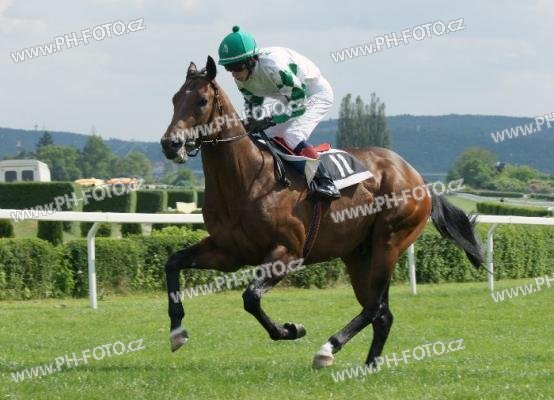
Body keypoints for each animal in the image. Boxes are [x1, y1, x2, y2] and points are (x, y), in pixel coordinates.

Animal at [159, 56, 483, 368]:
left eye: (202, 100)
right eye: (174, 99)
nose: (170, 144)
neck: (247, 178)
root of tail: (418, 178)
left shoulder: (288, 253)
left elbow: (251, 298)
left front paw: (290, 329)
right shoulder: (229, 252)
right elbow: (172, 263)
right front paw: (177, 332)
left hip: (389, 243)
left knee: (374, 307)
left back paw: (328, 349)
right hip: (358, 255)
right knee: (382, 313)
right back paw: (369, 365)